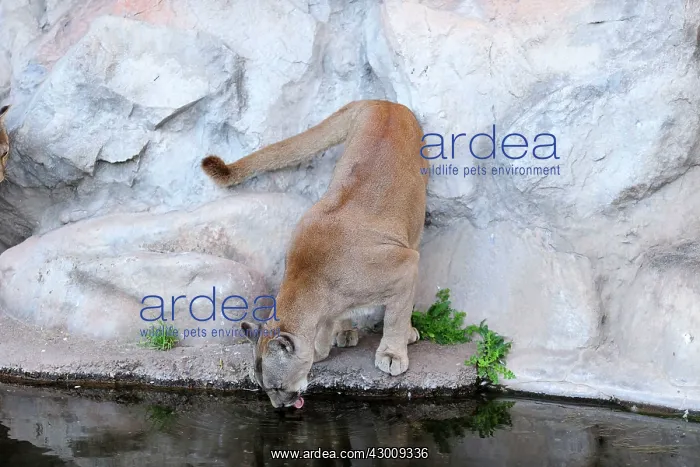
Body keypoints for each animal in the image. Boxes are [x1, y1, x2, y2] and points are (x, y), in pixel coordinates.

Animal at [201, 100, 428, 408]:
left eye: (277, 386)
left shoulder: (404, 266)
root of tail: (382, 102)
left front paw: (392, 353)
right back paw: (345, 332)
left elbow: (395, 316)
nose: (278, 407)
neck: (311, 280)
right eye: (263, 388)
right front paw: (323, 345)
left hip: (415, 224)